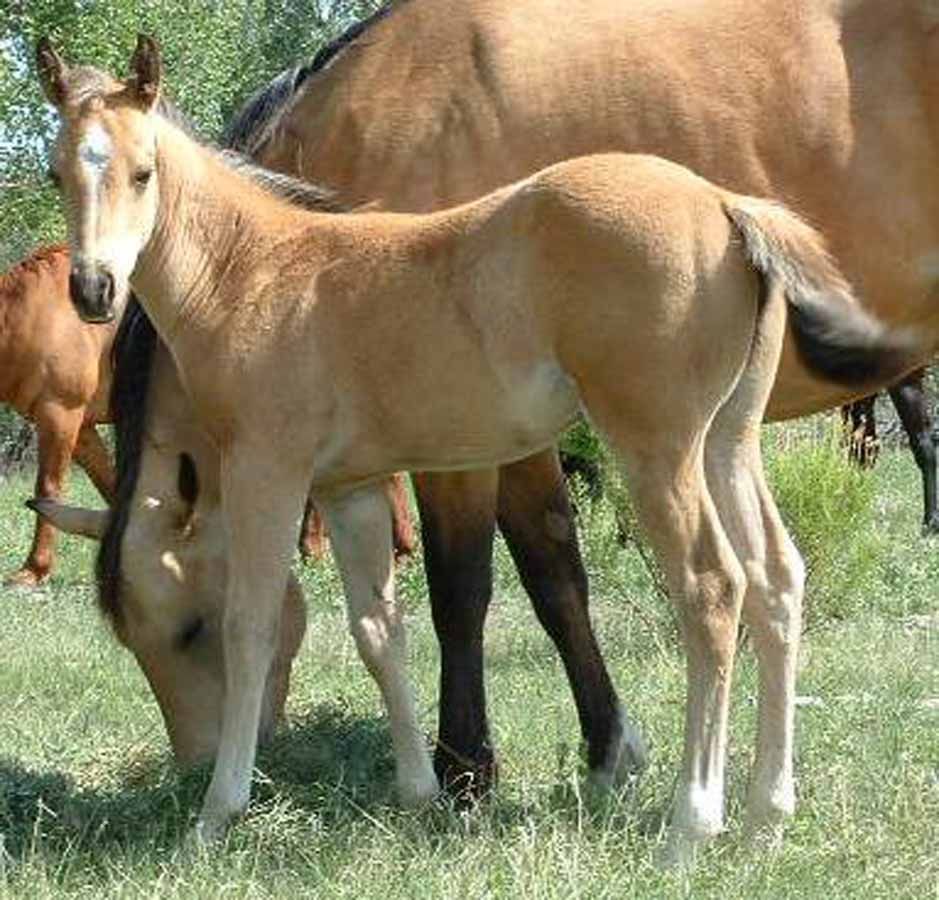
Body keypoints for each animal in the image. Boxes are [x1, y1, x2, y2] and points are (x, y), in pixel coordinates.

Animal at [35, 0, 939, 812]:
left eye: (185, 628)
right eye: (55, 174)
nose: (92, 289)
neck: (267, 266)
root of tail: (725, 205)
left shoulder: (334, 467)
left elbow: (426, 595)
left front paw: (459, 772)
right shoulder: (363, 480)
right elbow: (437, 609)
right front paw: (474, 778)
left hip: (660, 448)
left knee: (713, 588)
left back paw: (694, 821)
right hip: (724, 440)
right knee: (774, 576)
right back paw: (762, 811)